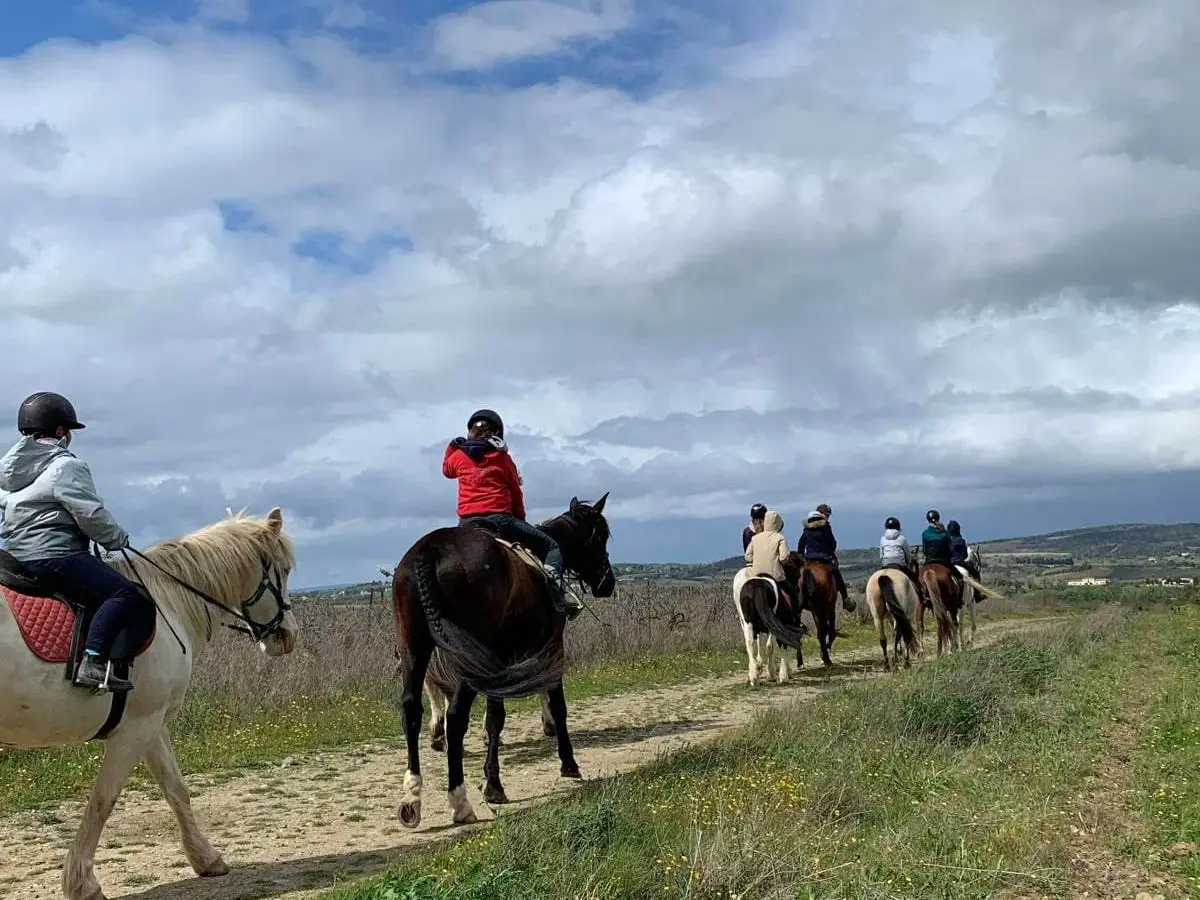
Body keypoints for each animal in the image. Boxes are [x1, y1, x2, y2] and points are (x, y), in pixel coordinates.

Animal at [0, 507, 299, 900]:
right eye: (284, 569)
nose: (288, 637)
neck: (168, 603)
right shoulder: (138, 727)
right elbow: (104, 799)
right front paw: (82, 883)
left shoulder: (152, 724)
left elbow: (176, 789)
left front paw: (206, 859)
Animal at [392, 494, 616, 828]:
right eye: (600, 536)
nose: (607, 582)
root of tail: (429, 551)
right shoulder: (551, 646)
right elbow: (555, 706)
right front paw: (568, 763)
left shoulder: (498, 659)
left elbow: (494, 718)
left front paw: (493, 782)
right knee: (456, 717)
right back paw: (459, 802)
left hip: (415, 648)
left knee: (412, 710)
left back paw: (411, 800)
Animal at [731, 557, 808, 686]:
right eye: (797, 572)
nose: (798, 589)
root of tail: (757, 586)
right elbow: (780, 644)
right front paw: (784, 674)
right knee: (770, 645)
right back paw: (771, 674)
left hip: (747, 623)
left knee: (750, 644)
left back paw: (754, 676)